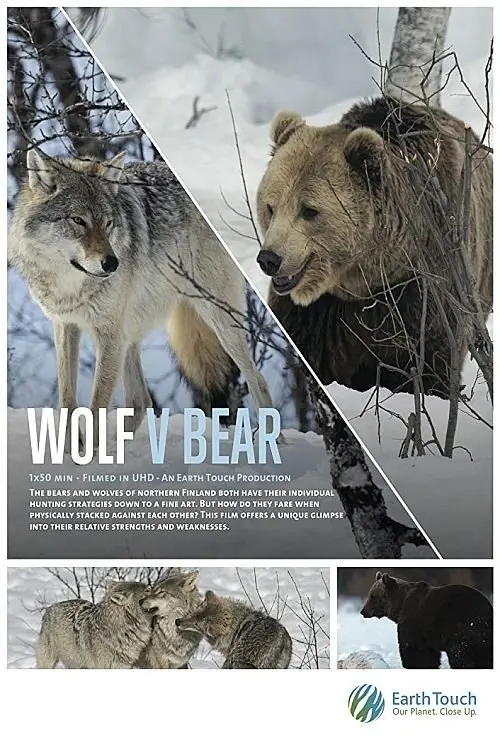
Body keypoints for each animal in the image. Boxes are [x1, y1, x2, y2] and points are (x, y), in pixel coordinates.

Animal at [8, 150, 273, 442]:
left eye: (108, 223)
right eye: (78, 220)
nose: (112, 263)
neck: (70, 287)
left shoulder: (109, 336)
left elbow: (97, 407)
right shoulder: (66, 325)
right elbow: (67, 403)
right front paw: (69, 451)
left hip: (218, 319)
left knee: (258, 380)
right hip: (132, 336)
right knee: (140, 401)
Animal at [256, 97, 493, 397]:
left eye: (308, 210)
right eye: (270, 206)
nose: (269, 259)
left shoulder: (422, 289)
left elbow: (427, 361)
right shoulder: (319, 315)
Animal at [360, 571, 493, 669]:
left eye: (372, 596)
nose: (363, 611)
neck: (399, 606)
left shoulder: (413, 621)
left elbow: (413, 650)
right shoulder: (427, 634)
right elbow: (430, 655)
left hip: (460, 628)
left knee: (459, 656)